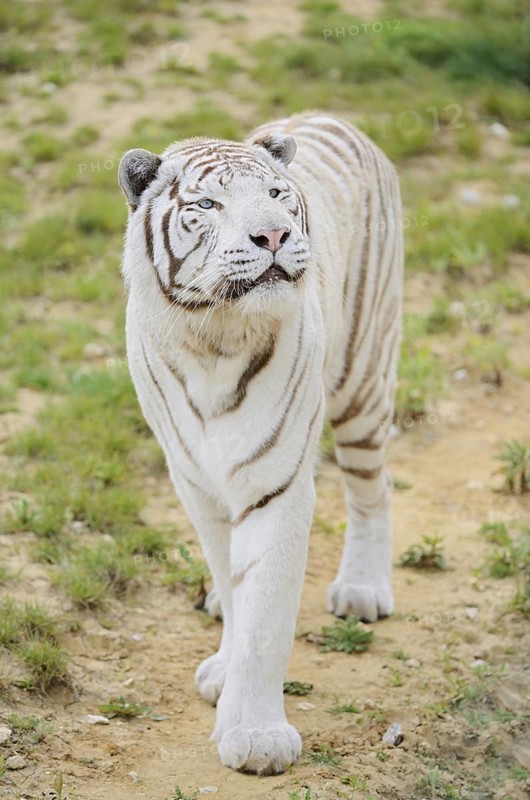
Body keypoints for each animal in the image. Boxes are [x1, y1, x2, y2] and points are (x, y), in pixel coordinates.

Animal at [119, 112, 403, 776]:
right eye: (206, 204)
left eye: (276, 195)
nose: (273, 234)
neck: (213, 338)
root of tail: (331, 113)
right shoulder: (194, 480)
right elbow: (230, 581)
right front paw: (226, 668)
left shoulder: (276, 482)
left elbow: (265, 615)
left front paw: (256, 737)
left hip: (361, 382)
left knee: (373, 490)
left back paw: (363, 589)